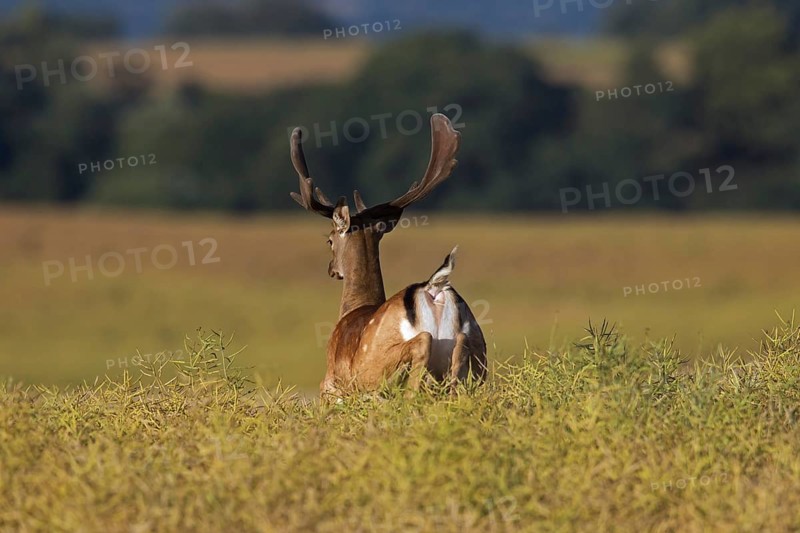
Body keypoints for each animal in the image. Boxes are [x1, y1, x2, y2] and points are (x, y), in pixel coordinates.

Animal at [289, 113, 487, 397]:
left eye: (329, 240)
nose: (331, 269)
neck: (352, 309)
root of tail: (434, 287)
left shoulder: (330, 382)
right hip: (478, 348)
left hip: (373, 363)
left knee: (422, 346)